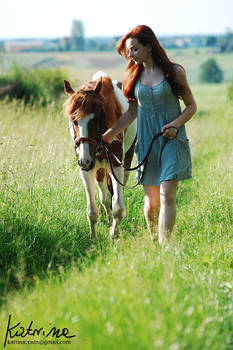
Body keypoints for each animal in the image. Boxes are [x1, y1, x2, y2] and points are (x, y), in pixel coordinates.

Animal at [63, 72, 137, 241]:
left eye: (96, 118)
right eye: (74, 121)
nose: (84, 161)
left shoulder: (116, 166)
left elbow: (118, 206)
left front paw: (114, 234)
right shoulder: (87, 169)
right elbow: (92, 210)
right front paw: (93, 239)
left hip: (126, 160)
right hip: (99, 169)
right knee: (105, 196)